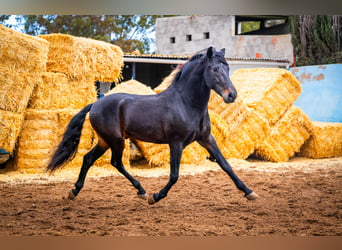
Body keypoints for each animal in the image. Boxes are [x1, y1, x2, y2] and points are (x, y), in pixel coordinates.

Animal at [47, 47, 256, 205]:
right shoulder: (176, 143)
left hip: (105, 141)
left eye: (227, 68)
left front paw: (249, 192)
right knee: (116, 162)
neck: (186, 103)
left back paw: (75, 191)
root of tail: (96, 103)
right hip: (116, 140)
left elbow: (226, 165)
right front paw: (156, 197)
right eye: (214, 69)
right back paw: (142, 191)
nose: (231, 95)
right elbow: (174, 175)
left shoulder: (206, 139)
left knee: (89, 159)